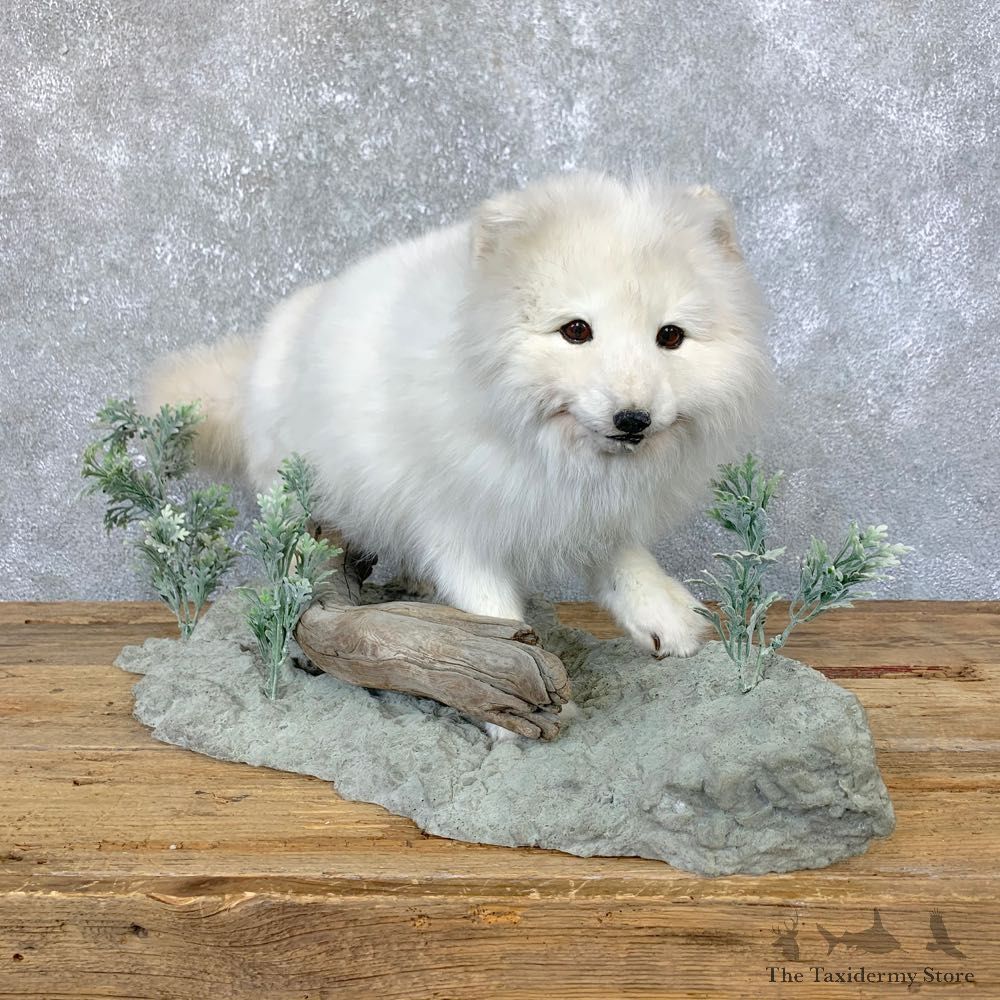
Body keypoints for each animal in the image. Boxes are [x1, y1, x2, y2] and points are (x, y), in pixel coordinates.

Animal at [146, 170, 776, 739]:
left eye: (670, 337)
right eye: (576, 330)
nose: (633, 419)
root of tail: (260, 351)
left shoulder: (583, 510)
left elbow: (623, 563)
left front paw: (667, 619)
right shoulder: (457, 524)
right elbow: (491, 608)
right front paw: (510, 698)